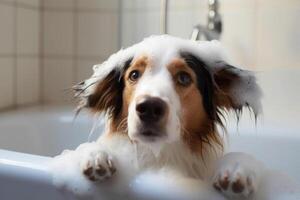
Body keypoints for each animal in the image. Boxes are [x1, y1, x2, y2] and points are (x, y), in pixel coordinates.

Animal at [74, 35, 264, 199]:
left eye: (184, 77)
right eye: (134, 75)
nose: (149, 108)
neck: (161, 156)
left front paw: (237, 168)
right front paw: (95, 154)